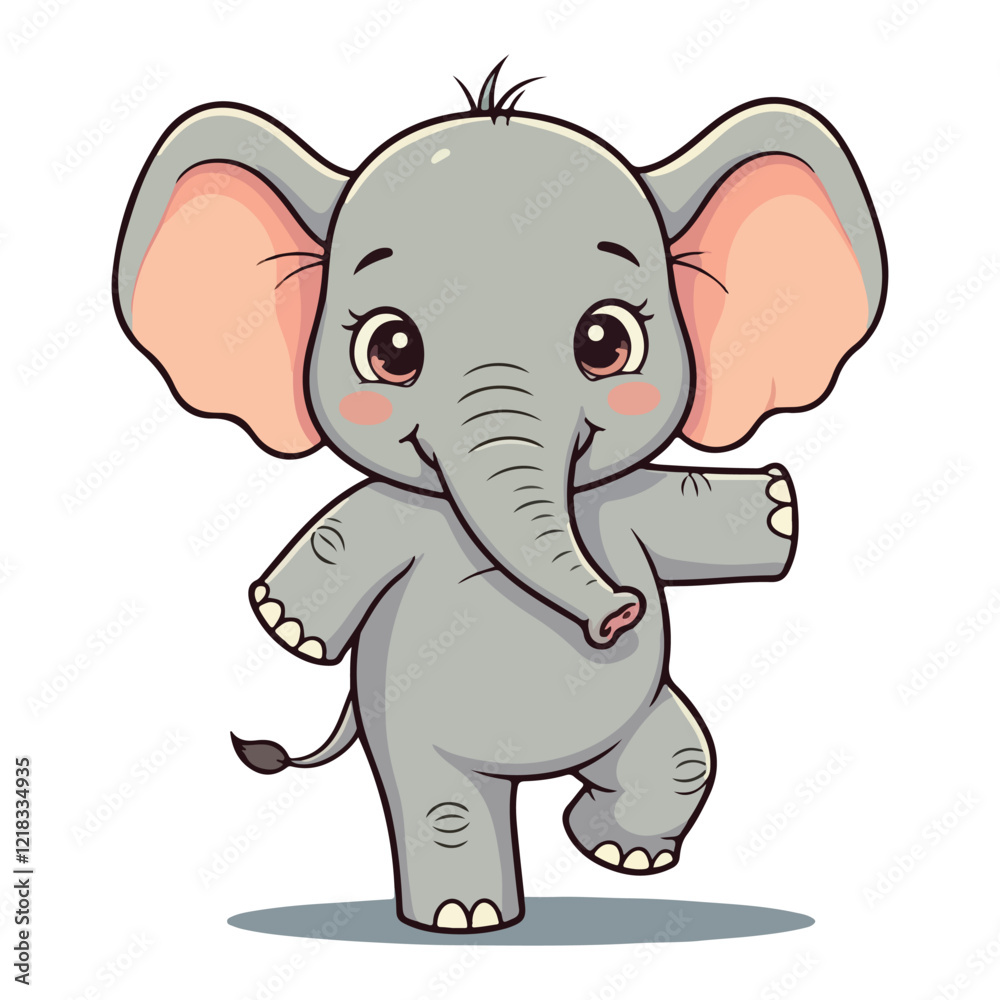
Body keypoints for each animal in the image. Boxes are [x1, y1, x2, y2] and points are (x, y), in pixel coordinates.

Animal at [112, 61, 886, 933]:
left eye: (606, 341)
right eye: (390, 349)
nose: (617, 614)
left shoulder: (624, 505)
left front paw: (779, 507)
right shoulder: (389, 517)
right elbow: (342, 543)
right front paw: (287, 626)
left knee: (681, 757)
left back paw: (616, 852)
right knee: (443, 803)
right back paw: (466, 917)